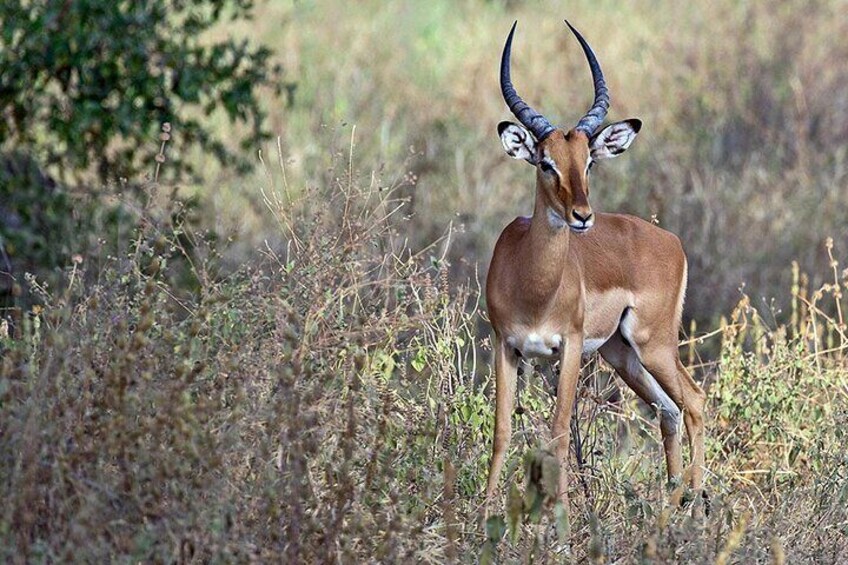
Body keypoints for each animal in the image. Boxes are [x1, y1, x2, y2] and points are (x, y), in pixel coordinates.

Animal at [485, 21, 707, 512]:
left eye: (588, 162)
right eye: (545, 162)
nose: (583, 216)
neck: (533, 285)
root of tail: (671, 241)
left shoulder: (568, 348)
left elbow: (559, 433)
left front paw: (560, 515)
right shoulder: (505, 346)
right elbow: (502, 431)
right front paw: (482, 509)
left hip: (654, 343)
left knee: (695, 401)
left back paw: (700, 504)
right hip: (622, 353)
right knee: (668, 409)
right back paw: (671, 503)